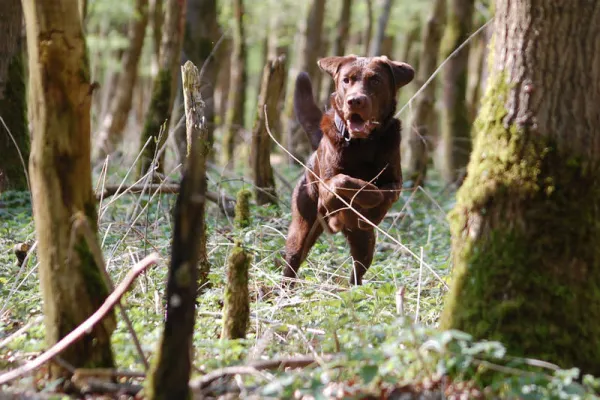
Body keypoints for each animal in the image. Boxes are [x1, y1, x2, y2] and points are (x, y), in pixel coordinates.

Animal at [282, 55, 412, 284]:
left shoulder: (395, 181)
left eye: (376, 80)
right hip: (302, 225)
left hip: (364, 245)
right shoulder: (326, 187)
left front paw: (371, 211)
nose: (355, 100)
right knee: (294, 258)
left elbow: (385, 192)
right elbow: (344, 181)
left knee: (358, 269)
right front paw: (362, 199)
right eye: (346, 80)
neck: (363, 144)